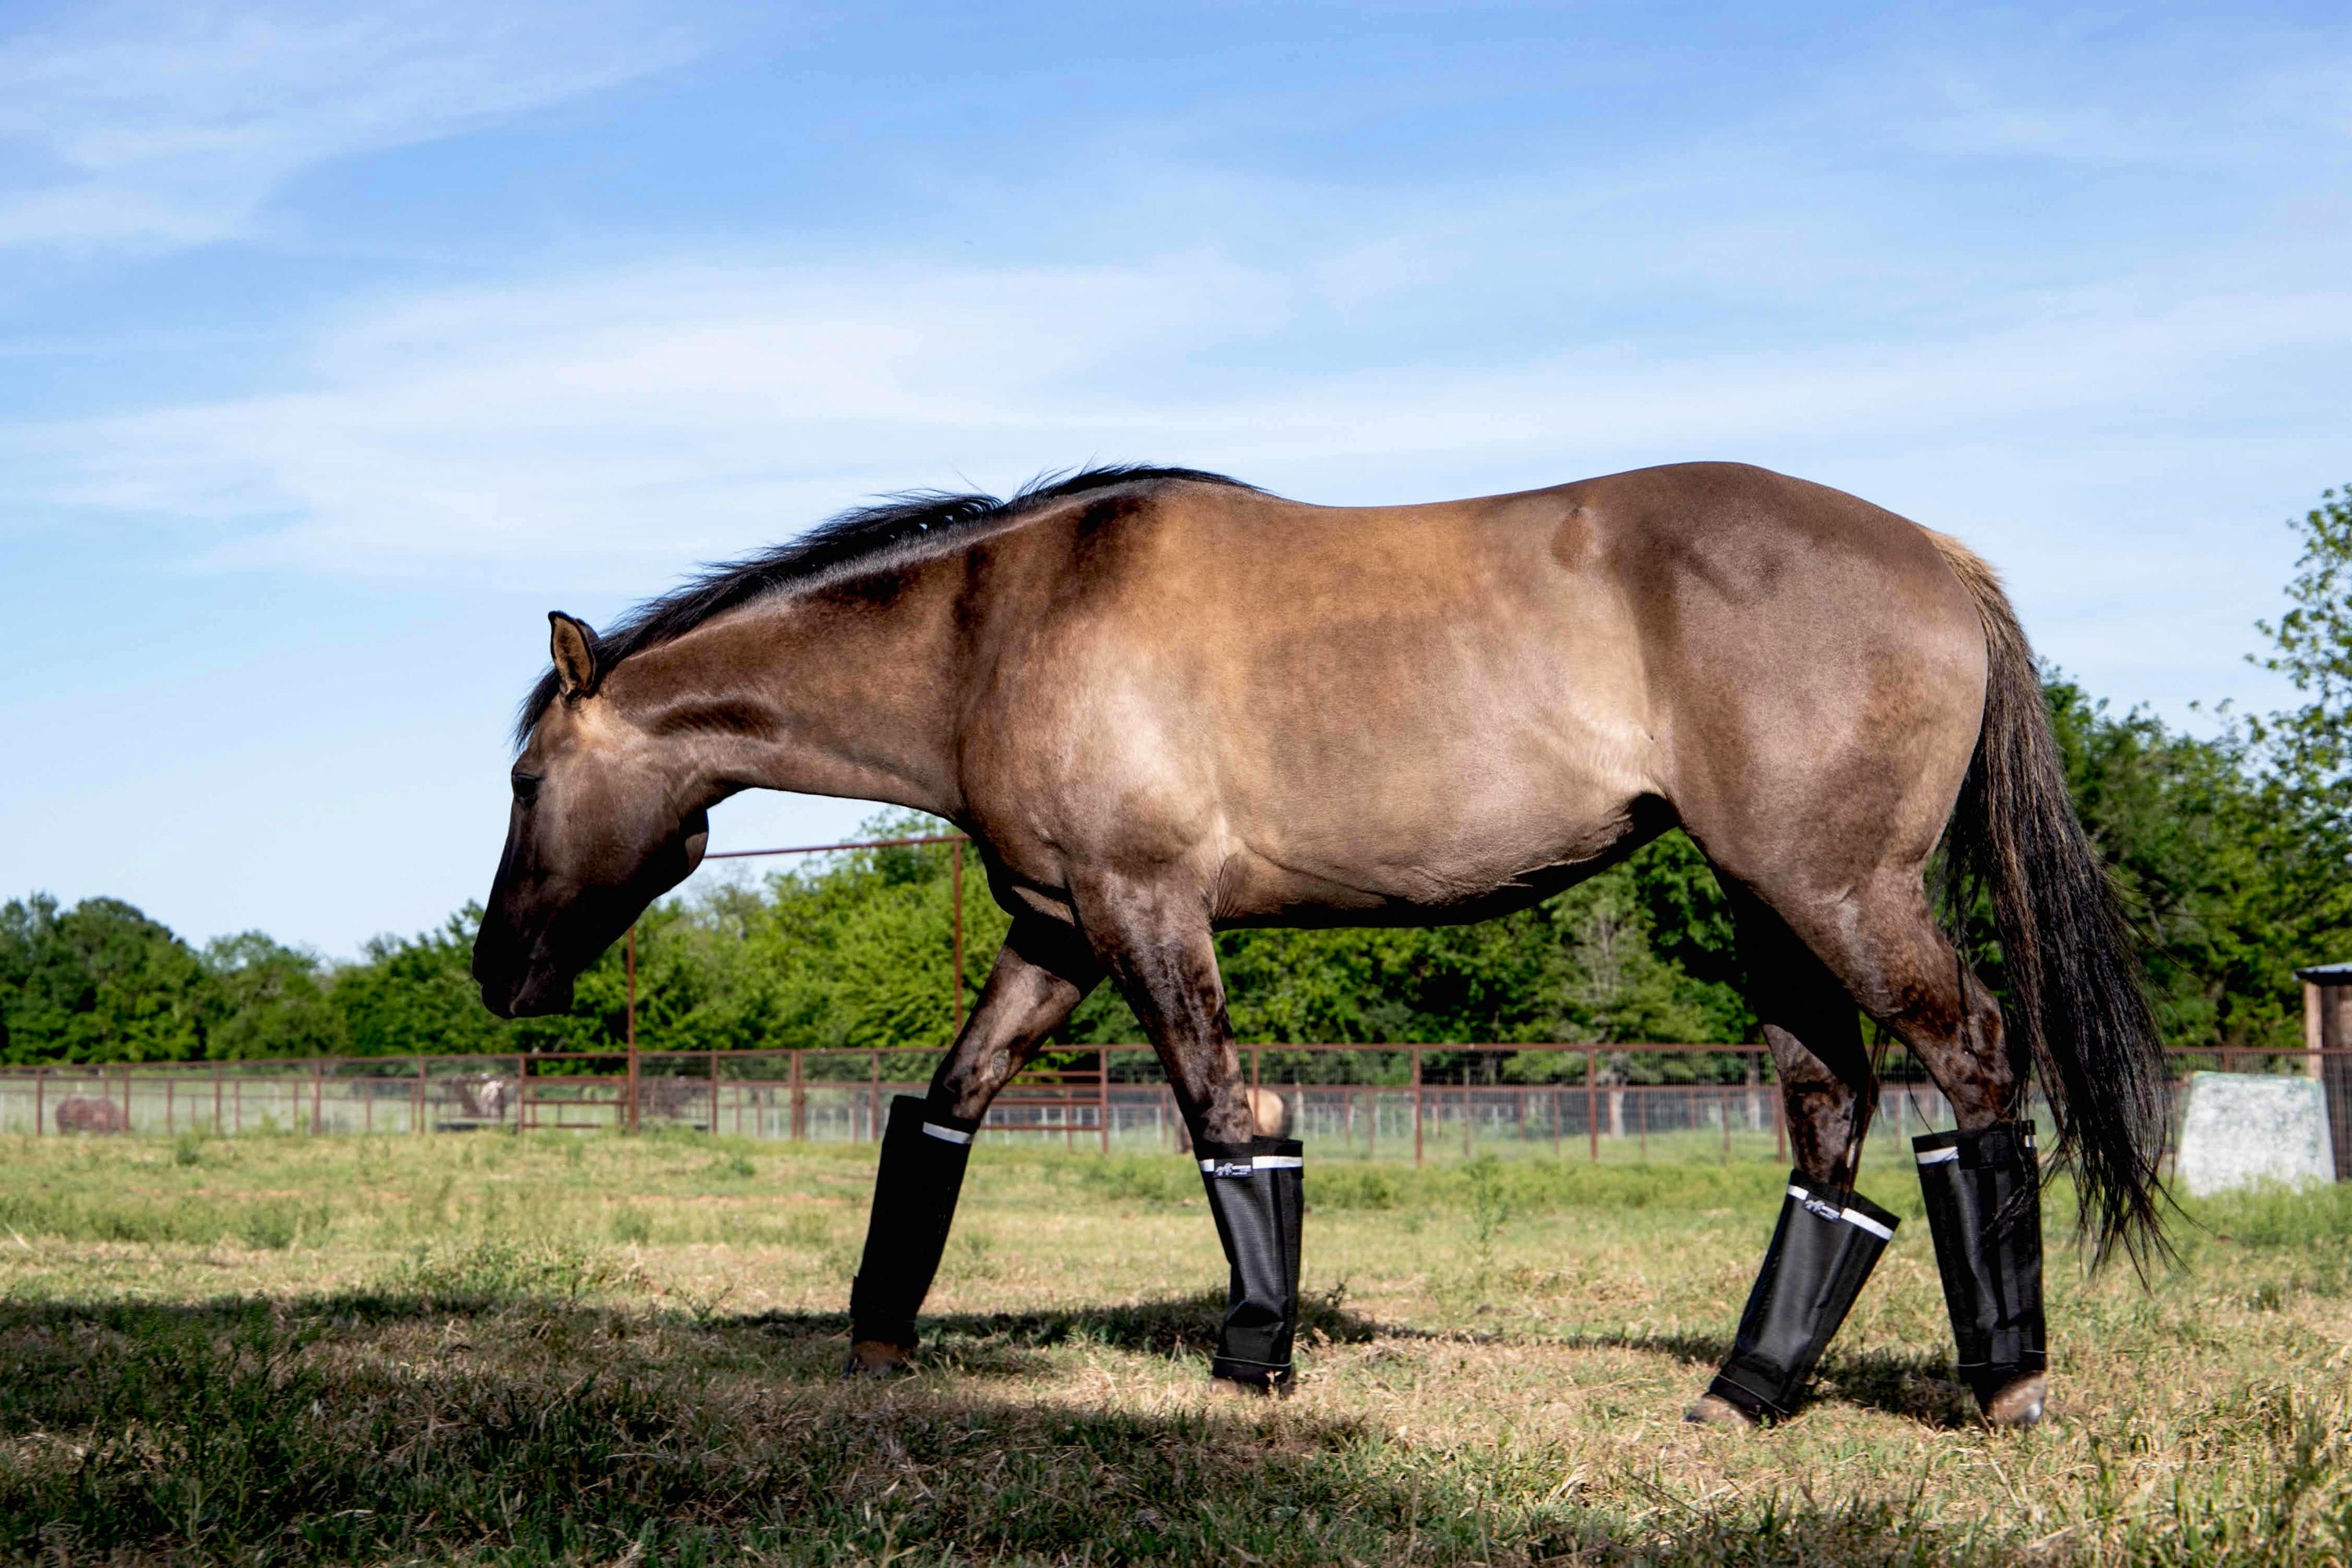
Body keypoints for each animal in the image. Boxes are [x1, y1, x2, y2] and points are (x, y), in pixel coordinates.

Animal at [473, 460, 2164, 1429]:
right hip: (1776, 906)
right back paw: (1746, 1393)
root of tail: (1942, 557)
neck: (995, 627)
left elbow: (1231, 1118)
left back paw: (2009, 1385)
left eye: (527, 780)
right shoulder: (1056, 930)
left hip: (1839, 892)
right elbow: (942, 1113)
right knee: (1832, 1119)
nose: (500, 974)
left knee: (1973, 1069)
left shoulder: (1146, 908)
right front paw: (878, 1338)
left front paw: (1254, 1360)